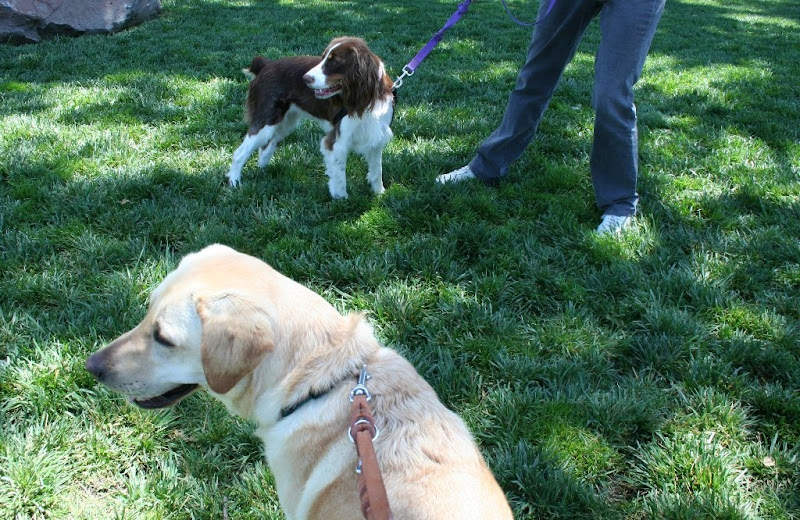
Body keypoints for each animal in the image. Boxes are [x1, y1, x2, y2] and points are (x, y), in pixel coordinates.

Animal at [227, 36, 396, 199]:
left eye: (334, 61)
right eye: (323, 57)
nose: (305, 78)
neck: (365, 100)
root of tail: (265, 66)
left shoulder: (376, 136)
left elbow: (377, 171)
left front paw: (379, 194)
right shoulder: (337, 142)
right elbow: (339, 177)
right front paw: (342, 199)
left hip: (284, 123)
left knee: (265, 148)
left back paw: (263, 174)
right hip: (265, 122)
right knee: (240, 153)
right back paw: (234, 182)